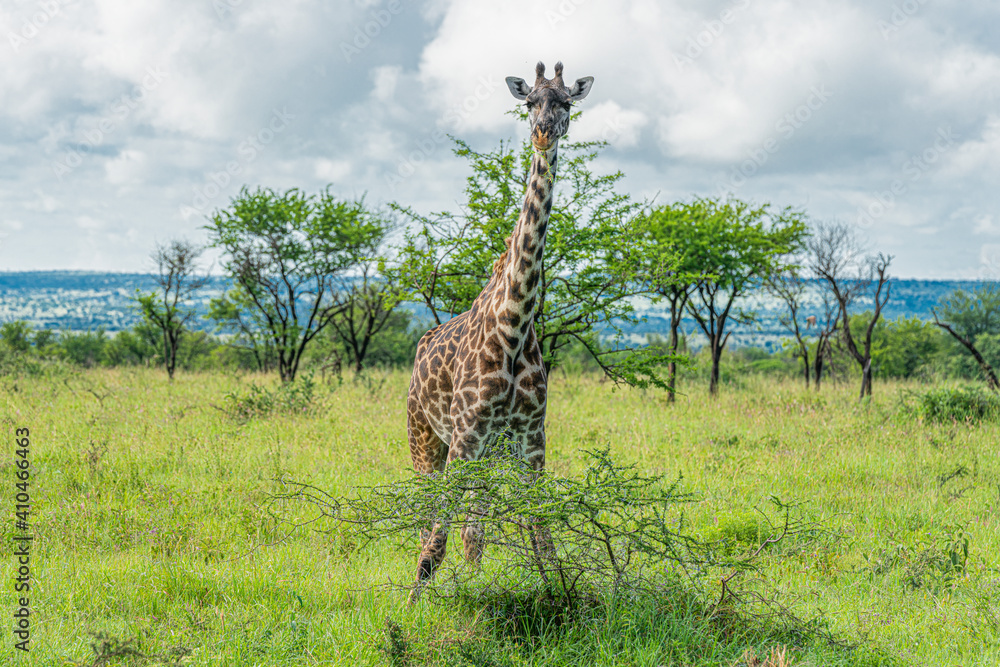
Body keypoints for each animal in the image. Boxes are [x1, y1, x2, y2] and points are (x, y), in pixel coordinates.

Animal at [405, 61, 594, 600]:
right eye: (529, 101)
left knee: (475, 526)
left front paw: (558, 596)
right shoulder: (465, 435)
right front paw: (413, 602)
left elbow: (540, 533)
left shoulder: (531, 437)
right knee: (427, 518)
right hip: (424, 438)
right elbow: (438, 540)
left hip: (485, 454)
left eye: (566, 103)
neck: (514, 323)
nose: (543, 133)